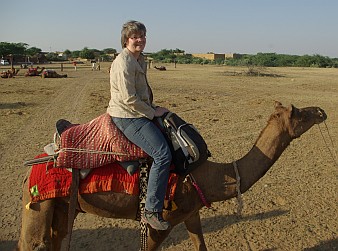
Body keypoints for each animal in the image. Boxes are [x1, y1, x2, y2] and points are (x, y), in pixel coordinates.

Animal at [16, 101, 328, 250]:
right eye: (300, 114)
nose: (321, 111)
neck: (208, 175)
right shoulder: (160, 221)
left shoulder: (192, 211)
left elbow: (200, 244)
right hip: (38, 202)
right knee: (33, 243)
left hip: (63, 207)